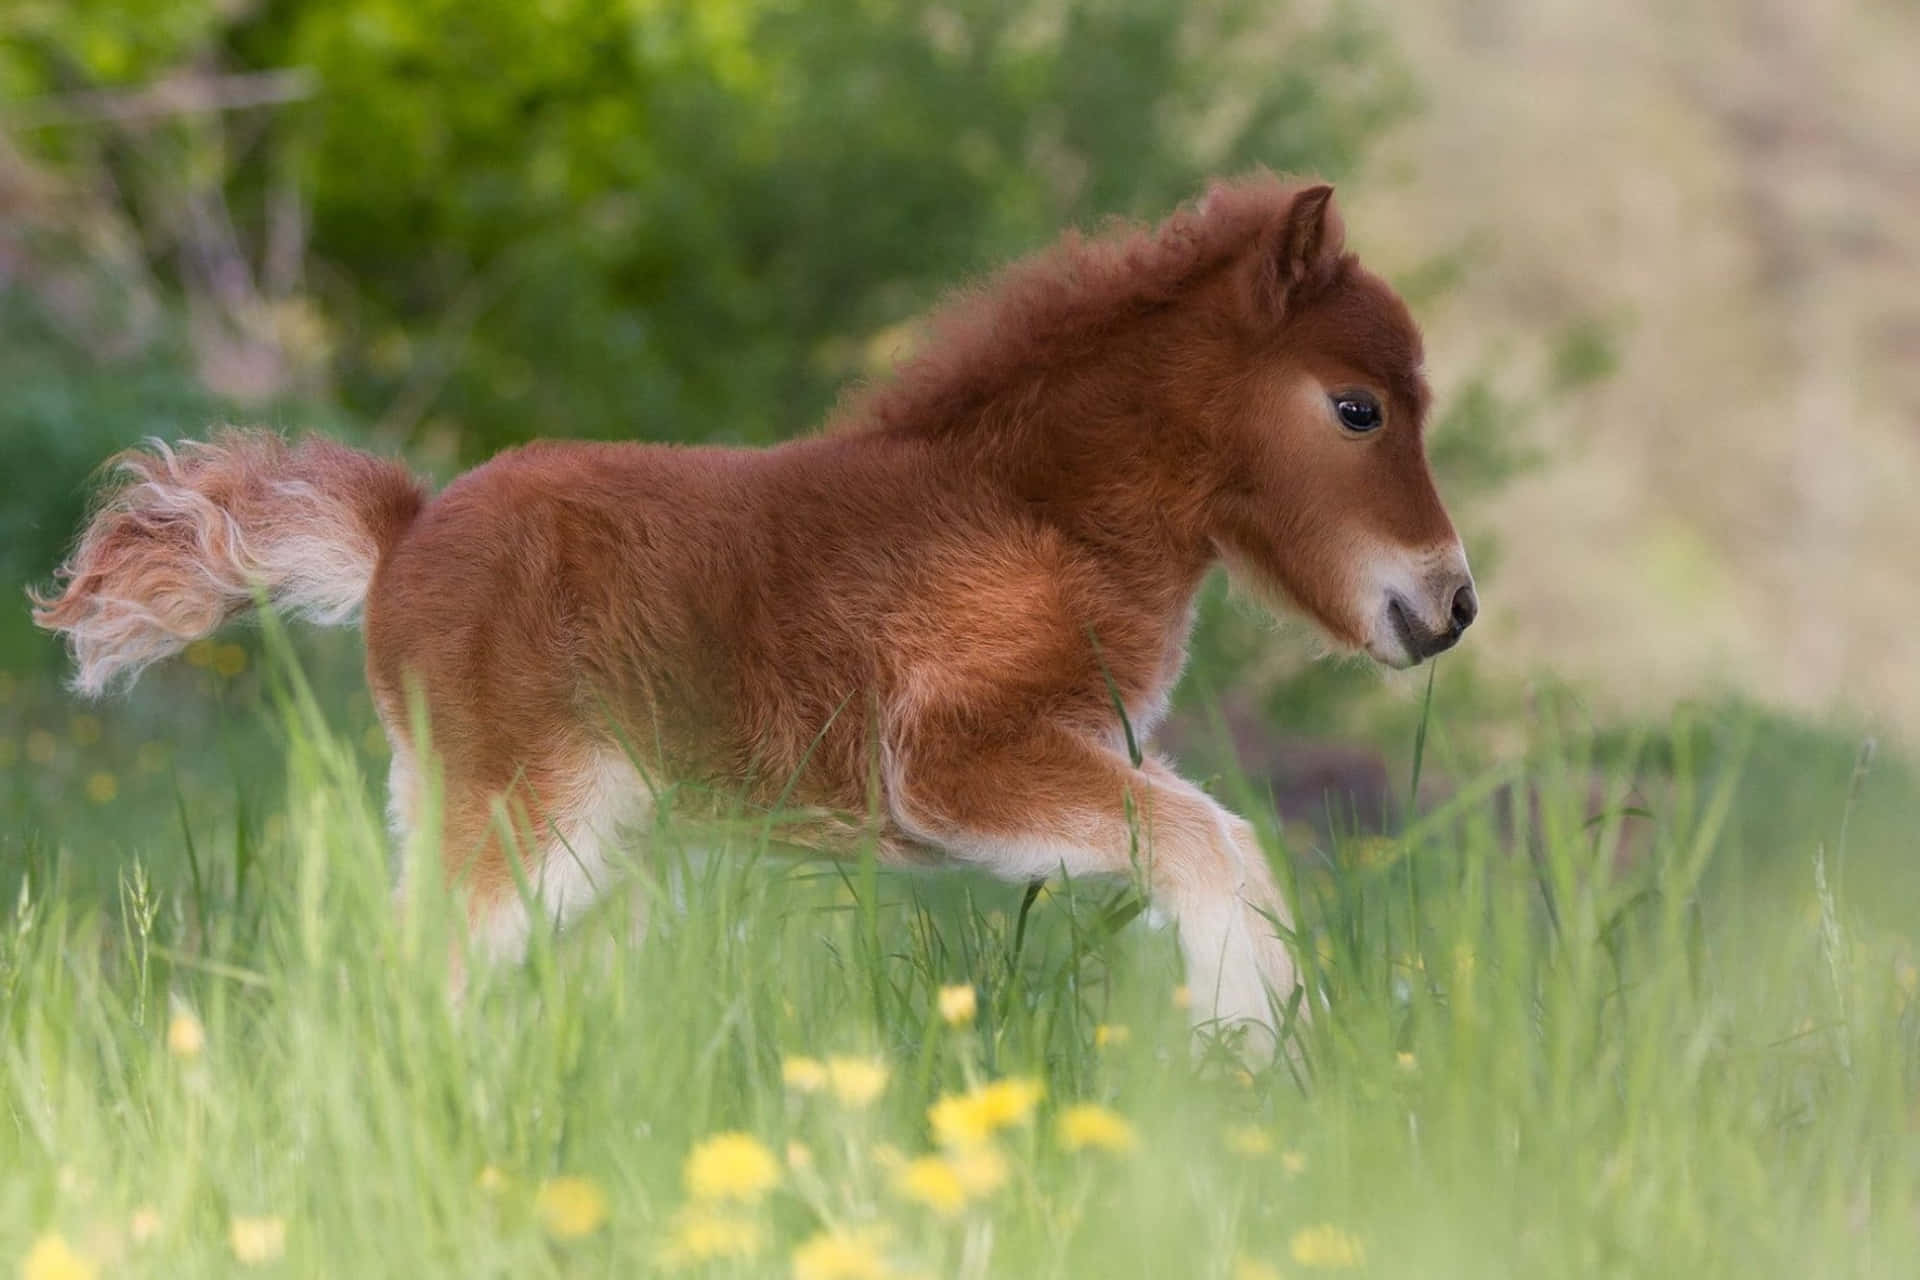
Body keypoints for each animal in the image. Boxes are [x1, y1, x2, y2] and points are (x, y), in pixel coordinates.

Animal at [32, 173, 1476, 1054]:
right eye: (1357, 407)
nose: (1450, 604)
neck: (1033, 508)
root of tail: (404, 531)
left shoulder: (1068, 746)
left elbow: (1219, 837)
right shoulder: (949, 768)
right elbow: (1209, 839)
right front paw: (1250, 1052)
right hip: (523, 816)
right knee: (415, 972)